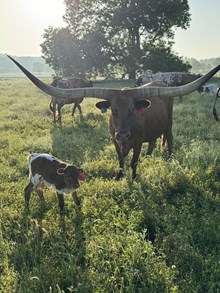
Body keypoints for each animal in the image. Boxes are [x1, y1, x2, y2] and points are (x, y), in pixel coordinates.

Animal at [7, 54, 220, 178]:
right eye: (113, 110)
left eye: (132, 109)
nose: (123, 134)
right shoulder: (114, 140)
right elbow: (120, 159)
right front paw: (119, 176)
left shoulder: (136, 141)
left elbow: (133, 161)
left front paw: (133, 177)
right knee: (152, 143)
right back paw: (149, 157)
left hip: (169, 124)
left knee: (169, 140)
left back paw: (169, 157)